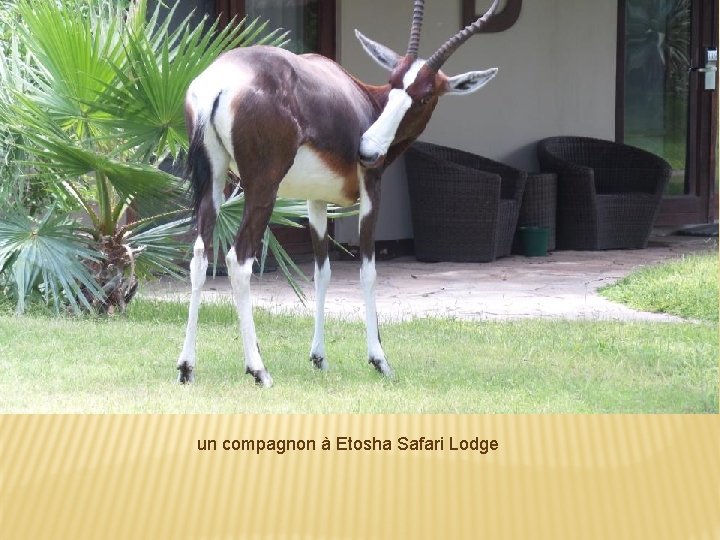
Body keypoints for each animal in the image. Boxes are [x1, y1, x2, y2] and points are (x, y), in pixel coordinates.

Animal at [179, 0, 500, 388]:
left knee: (200, 255)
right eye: (394, 83)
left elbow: (323, 272)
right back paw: (259, 370)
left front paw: (319, 358)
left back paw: (186, 367)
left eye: (422, 95)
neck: (363, 99)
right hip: (262, 188)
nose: (368, 150)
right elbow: (368, 270)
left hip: (212, 181)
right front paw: (380, 360)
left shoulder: (315, 201)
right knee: (238, 260)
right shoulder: (371, 190)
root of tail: (221, 82)